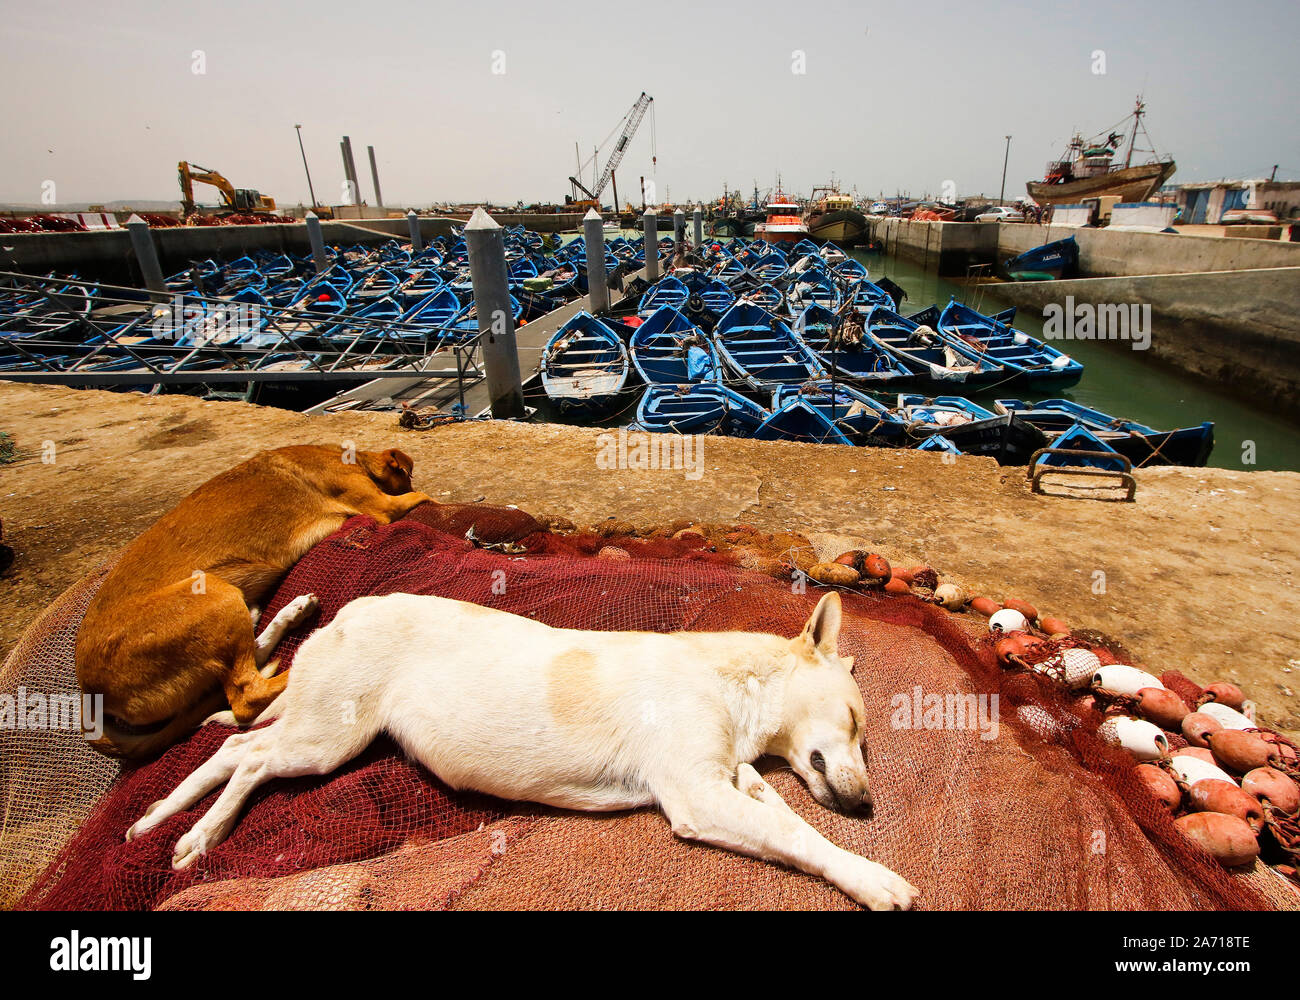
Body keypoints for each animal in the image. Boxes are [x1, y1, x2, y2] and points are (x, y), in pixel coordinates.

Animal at [76, 444, 431, 759]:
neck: (351, 458)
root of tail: (91, 692)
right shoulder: (383, 506)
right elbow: (424, 497)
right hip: (213, 593)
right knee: (246, 694)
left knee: (251, 657)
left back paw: (292, 612)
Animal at [122, 587, 915, 910]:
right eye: (854, 720)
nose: (869, 806)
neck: (734, 685)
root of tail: (344, 612)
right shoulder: (698, 793)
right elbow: (800, 839)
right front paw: (875, 879)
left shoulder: (736, 778)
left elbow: (788, 820)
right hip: (329, 738)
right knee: (252, 759)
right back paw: (203, 836)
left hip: (317, 730)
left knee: (233, 750)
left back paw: (162, 820)